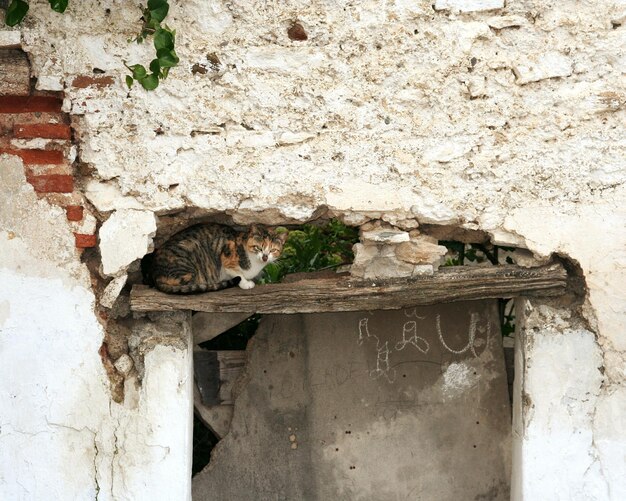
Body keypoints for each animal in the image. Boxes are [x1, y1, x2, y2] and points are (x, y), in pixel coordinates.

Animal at [145, 223, 286, 292]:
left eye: (273, 250)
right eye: (259, 248)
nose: (265, 257)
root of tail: (155, 274)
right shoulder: (225, 255)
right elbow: (238, 274)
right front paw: (246, 283)